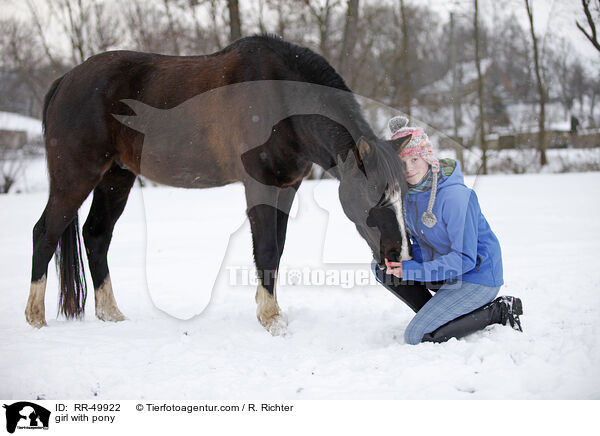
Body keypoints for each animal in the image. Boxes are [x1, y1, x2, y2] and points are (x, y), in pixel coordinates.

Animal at [27, 35, 412, 334]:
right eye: (373, 195)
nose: (398, 254)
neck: (281, 97)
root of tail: (66, 80)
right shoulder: (259, 184)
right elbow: (266, 248)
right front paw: (271, 319)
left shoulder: (287, 187)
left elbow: (276, 250)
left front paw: (270, 309)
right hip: (76, 176)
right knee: (45, 232)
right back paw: (36, 318)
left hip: (116, 178)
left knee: (96, 235)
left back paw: (111, 315)